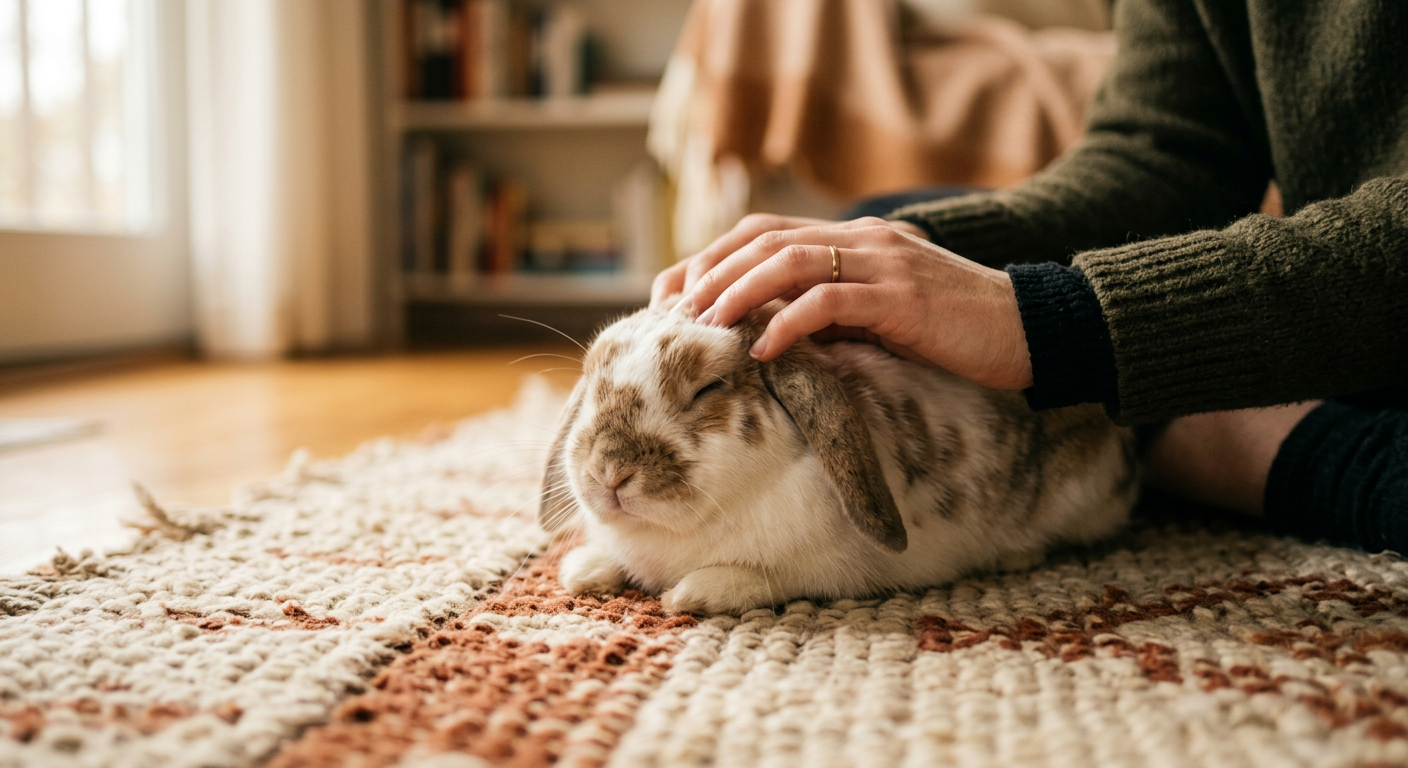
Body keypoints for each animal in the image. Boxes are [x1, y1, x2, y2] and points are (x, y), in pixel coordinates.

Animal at [538, 299, 1139, 615]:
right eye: (591, 382)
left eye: (708, 389)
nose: (608, 472)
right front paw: (583, 571)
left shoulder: (822, 573)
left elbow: (757, 579)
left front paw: (691, 595)